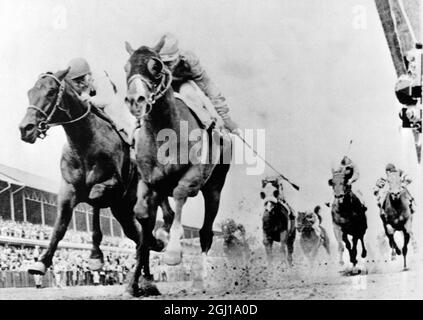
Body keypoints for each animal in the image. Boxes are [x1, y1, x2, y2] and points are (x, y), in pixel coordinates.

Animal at [19, 70, 175, 298]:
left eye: (51, 91)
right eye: (29, 92)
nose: (25, 128)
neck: (85, 142)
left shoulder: (112, 184)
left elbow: (95, 199)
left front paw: (95, 255)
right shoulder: (68, 189)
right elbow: (60, 226)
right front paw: (41, 263)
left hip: (145, 204)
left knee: (146, 236)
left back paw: (136, 282)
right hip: (122, 211)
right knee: (138, 237)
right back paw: (146, 282)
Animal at [124, 38, 232, 292]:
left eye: (156, 66)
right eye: (126, 68)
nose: (135, 101)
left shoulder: (193, 175)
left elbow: (181, 193)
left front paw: (173, 252)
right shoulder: (149, 180)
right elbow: (142, 215)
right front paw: (135, 282)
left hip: (215, 188)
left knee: (205, 233)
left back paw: (199, 279)